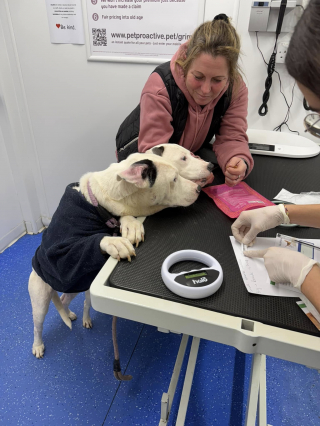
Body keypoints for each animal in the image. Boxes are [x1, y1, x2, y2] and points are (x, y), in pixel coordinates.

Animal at [29, 150, 210, 360]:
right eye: (174, 179)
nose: (199, 188)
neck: (97, 201)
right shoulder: (62, 257)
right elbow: (89, 243)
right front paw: (114, 242)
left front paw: (130, 225)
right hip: (40, 299)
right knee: (38, 325)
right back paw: (38, 345)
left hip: (78, 285)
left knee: (73, 301)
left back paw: (75, 316)